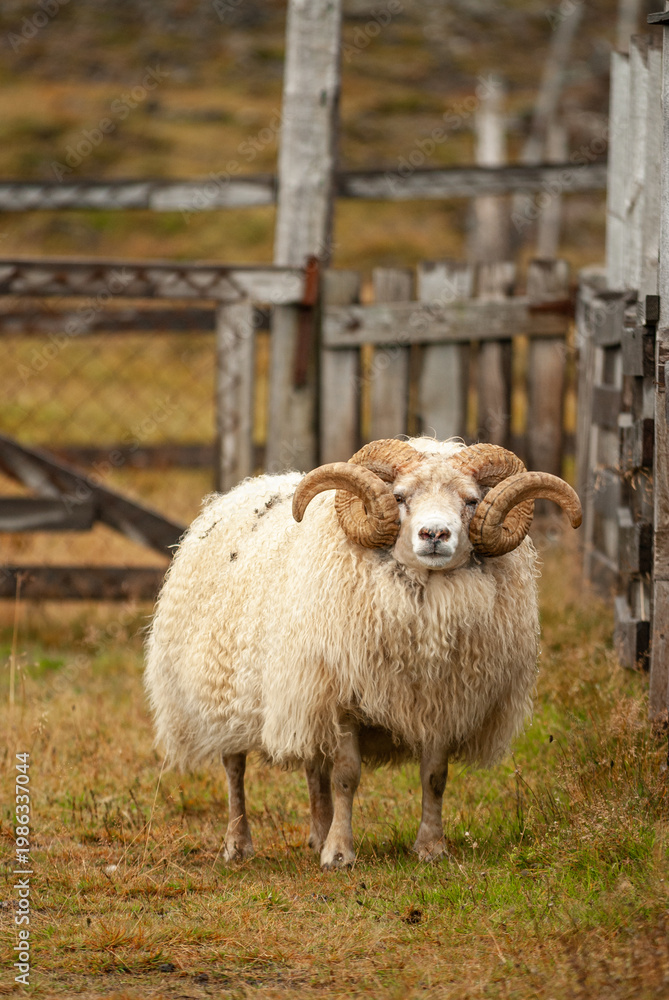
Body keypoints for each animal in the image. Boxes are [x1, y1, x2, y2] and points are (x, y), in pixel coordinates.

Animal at [145, 437, 581, 868]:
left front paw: (431, 847)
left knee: (313, 766)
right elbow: (346, 777)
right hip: (224, 693)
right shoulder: (342, 700)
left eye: (472, 500)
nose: (434, 534)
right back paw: (238, 844)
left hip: (306, 693)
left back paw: (316, 835)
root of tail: (238, 491)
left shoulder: (440, 701)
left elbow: (434, 776)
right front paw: (339, 853)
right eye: (400, 496)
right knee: (234, 768)